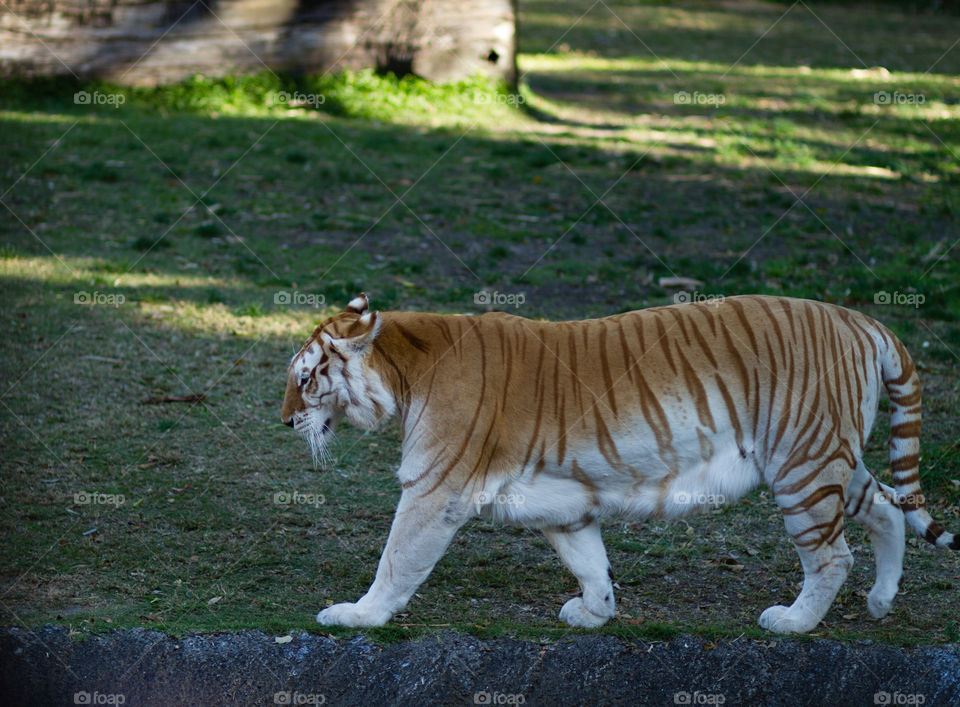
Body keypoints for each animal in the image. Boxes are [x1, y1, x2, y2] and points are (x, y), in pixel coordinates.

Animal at [282, 290, 956, 632]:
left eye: (307, 377)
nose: (286, 420)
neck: (405, 367)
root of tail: (861, 319)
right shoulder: (561, 500)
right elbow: (589, 561)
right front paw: (594, 612)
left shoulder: (433, 487)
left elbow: (397, 559)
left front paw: (357, 615)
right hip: (828, 459)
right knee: (887, 510)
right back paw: (880, 601)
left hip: (803, 467)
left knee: (833, 555)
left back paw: (792, 622)